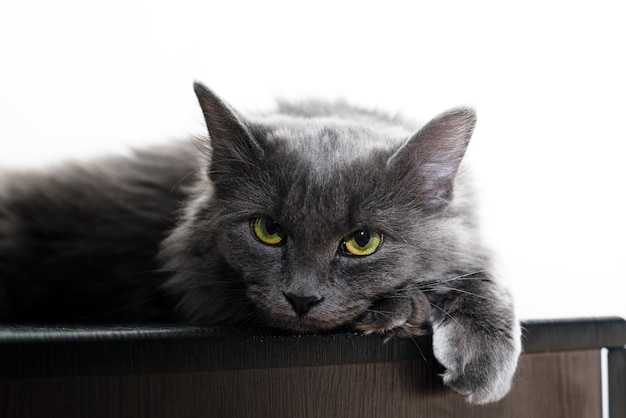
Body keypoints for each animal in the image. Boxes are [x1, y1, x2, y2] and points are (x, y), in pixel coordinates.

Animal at [0, 82, 516, 404]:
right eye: (267, 230)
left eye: (362, 241)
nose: (302, 299)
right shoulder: (200, 293)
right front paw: (403, 309)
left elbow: (482, 278)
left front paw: (481, 361)